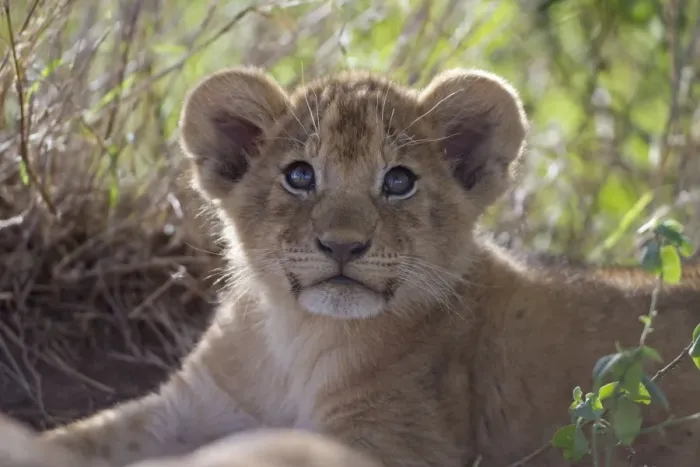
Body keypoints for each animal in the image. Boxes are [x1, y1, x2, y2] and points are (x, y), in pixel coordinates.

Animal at [2, 67, 698, 467]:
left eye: (398, 182)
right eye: (299, 176)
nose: (342, 245)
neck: (296, 338)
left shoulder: (397, 443)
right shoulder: (186, 408)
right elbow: (82, 438)